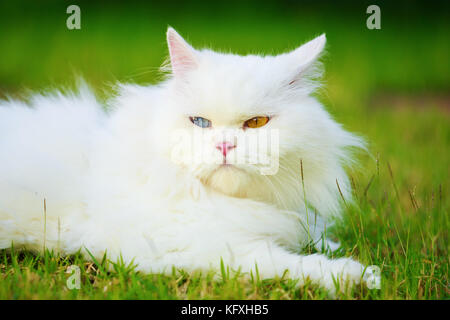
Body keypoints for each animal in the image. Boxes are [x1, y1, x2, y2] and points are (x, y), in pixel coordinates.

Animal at [0, 28, 380, 296]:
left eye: (256, 123)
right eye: (200, 123)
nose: (225, 146)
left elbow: (313, 235)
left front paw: (332, 245)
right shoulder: (202, 249)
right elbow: (291, 263)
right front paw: (357, 275)